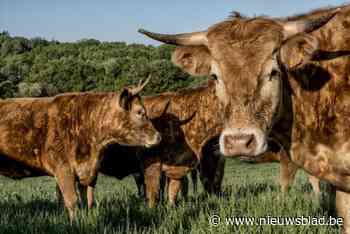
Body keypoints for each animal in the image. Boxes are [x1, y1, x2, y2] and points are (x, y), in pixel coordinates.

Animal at [0, 79, 161, 221]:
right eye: (140, 112)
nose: (158, 137)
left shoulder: (89, 173)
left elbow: (87, 201)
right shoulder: (63, 170)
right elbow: (72, 202)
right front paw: (75, 223)